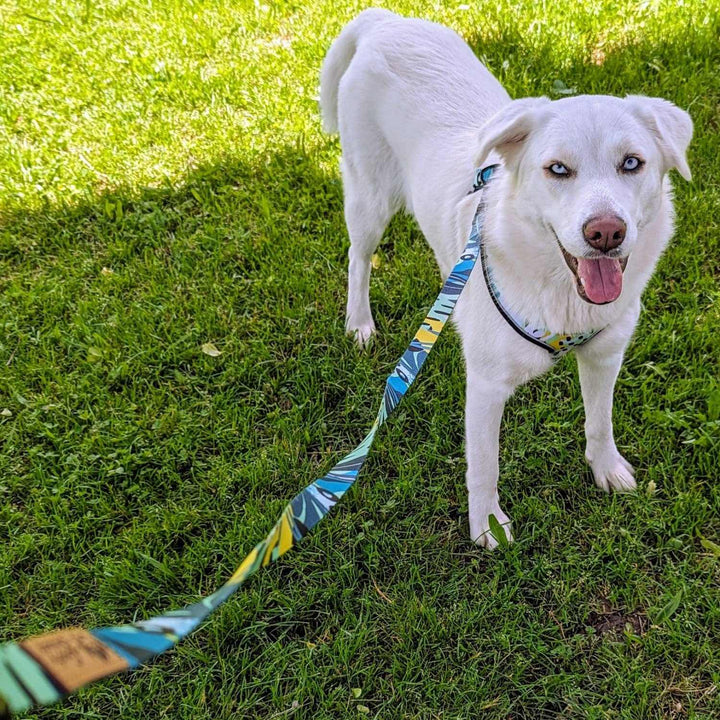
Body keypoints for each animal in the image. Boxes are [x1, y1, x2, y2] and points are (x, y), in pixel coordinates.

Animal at [320, 8, 692, 544]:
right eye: (557, 169)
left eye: (631, 163)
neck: (561, 295)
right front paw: (488, 527)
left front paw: (606, 470)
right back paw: (360, 324)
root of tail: (387, 20)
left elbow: (600, 422)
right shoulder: (486, 387)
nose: (606, 232)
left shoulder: (605, 357)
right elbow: (484, 466)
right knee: (358, 258)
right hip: (370, 198)